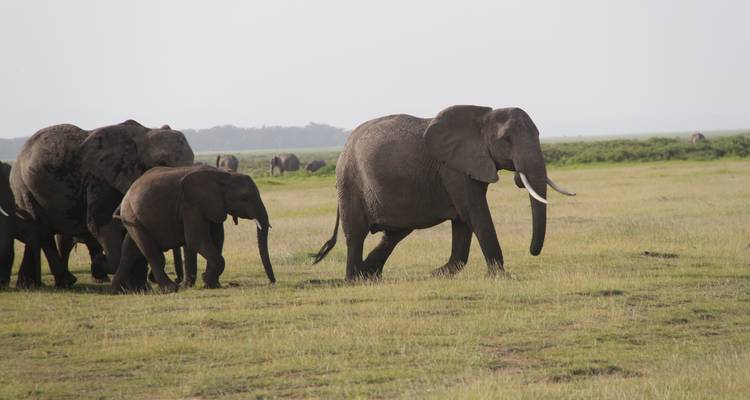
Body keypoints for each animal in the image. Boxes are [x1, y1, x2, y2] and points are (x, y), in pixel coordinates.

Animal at [11, 120, 194, 288]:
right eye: (161, 163)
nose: (180, 282)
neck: (143, 134)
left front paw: (139, 287)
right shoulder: (98, 180)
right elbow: (100, 224)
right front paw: (101, 264)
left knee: (36, 233)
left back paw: (28, 284)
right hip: (24, 188)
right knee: (43, 232)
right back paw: (65, 281)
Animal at [112, 165, 275, 293]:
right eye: (244, 198)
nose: (272, 282)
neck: (222, 175)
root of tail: (127, 194)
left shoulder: (212, 206)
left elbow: (216, 240)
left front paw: (212, 284)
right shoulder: (191, 204)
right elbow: (197, 240)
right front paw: (206, 280)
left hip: (133, 218)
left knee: (129, 251)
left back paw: (118, 290)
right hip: (132, 215)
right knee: (151, 252)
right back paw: (171, 288)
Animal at [312, 105, 575, 281]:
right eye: (507, 139)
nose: (532, 251)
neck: (482, 118)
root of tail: (344, 148)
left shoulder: (469, 165)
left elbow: (463, 219)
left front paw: (437, 274)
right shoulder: (452, 168)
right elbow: (474, 212)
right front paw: (500, 276)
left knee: (395, 233)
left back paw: (370, 275)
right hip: (349, 182)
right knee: (356, 234)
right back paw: (355, 278)